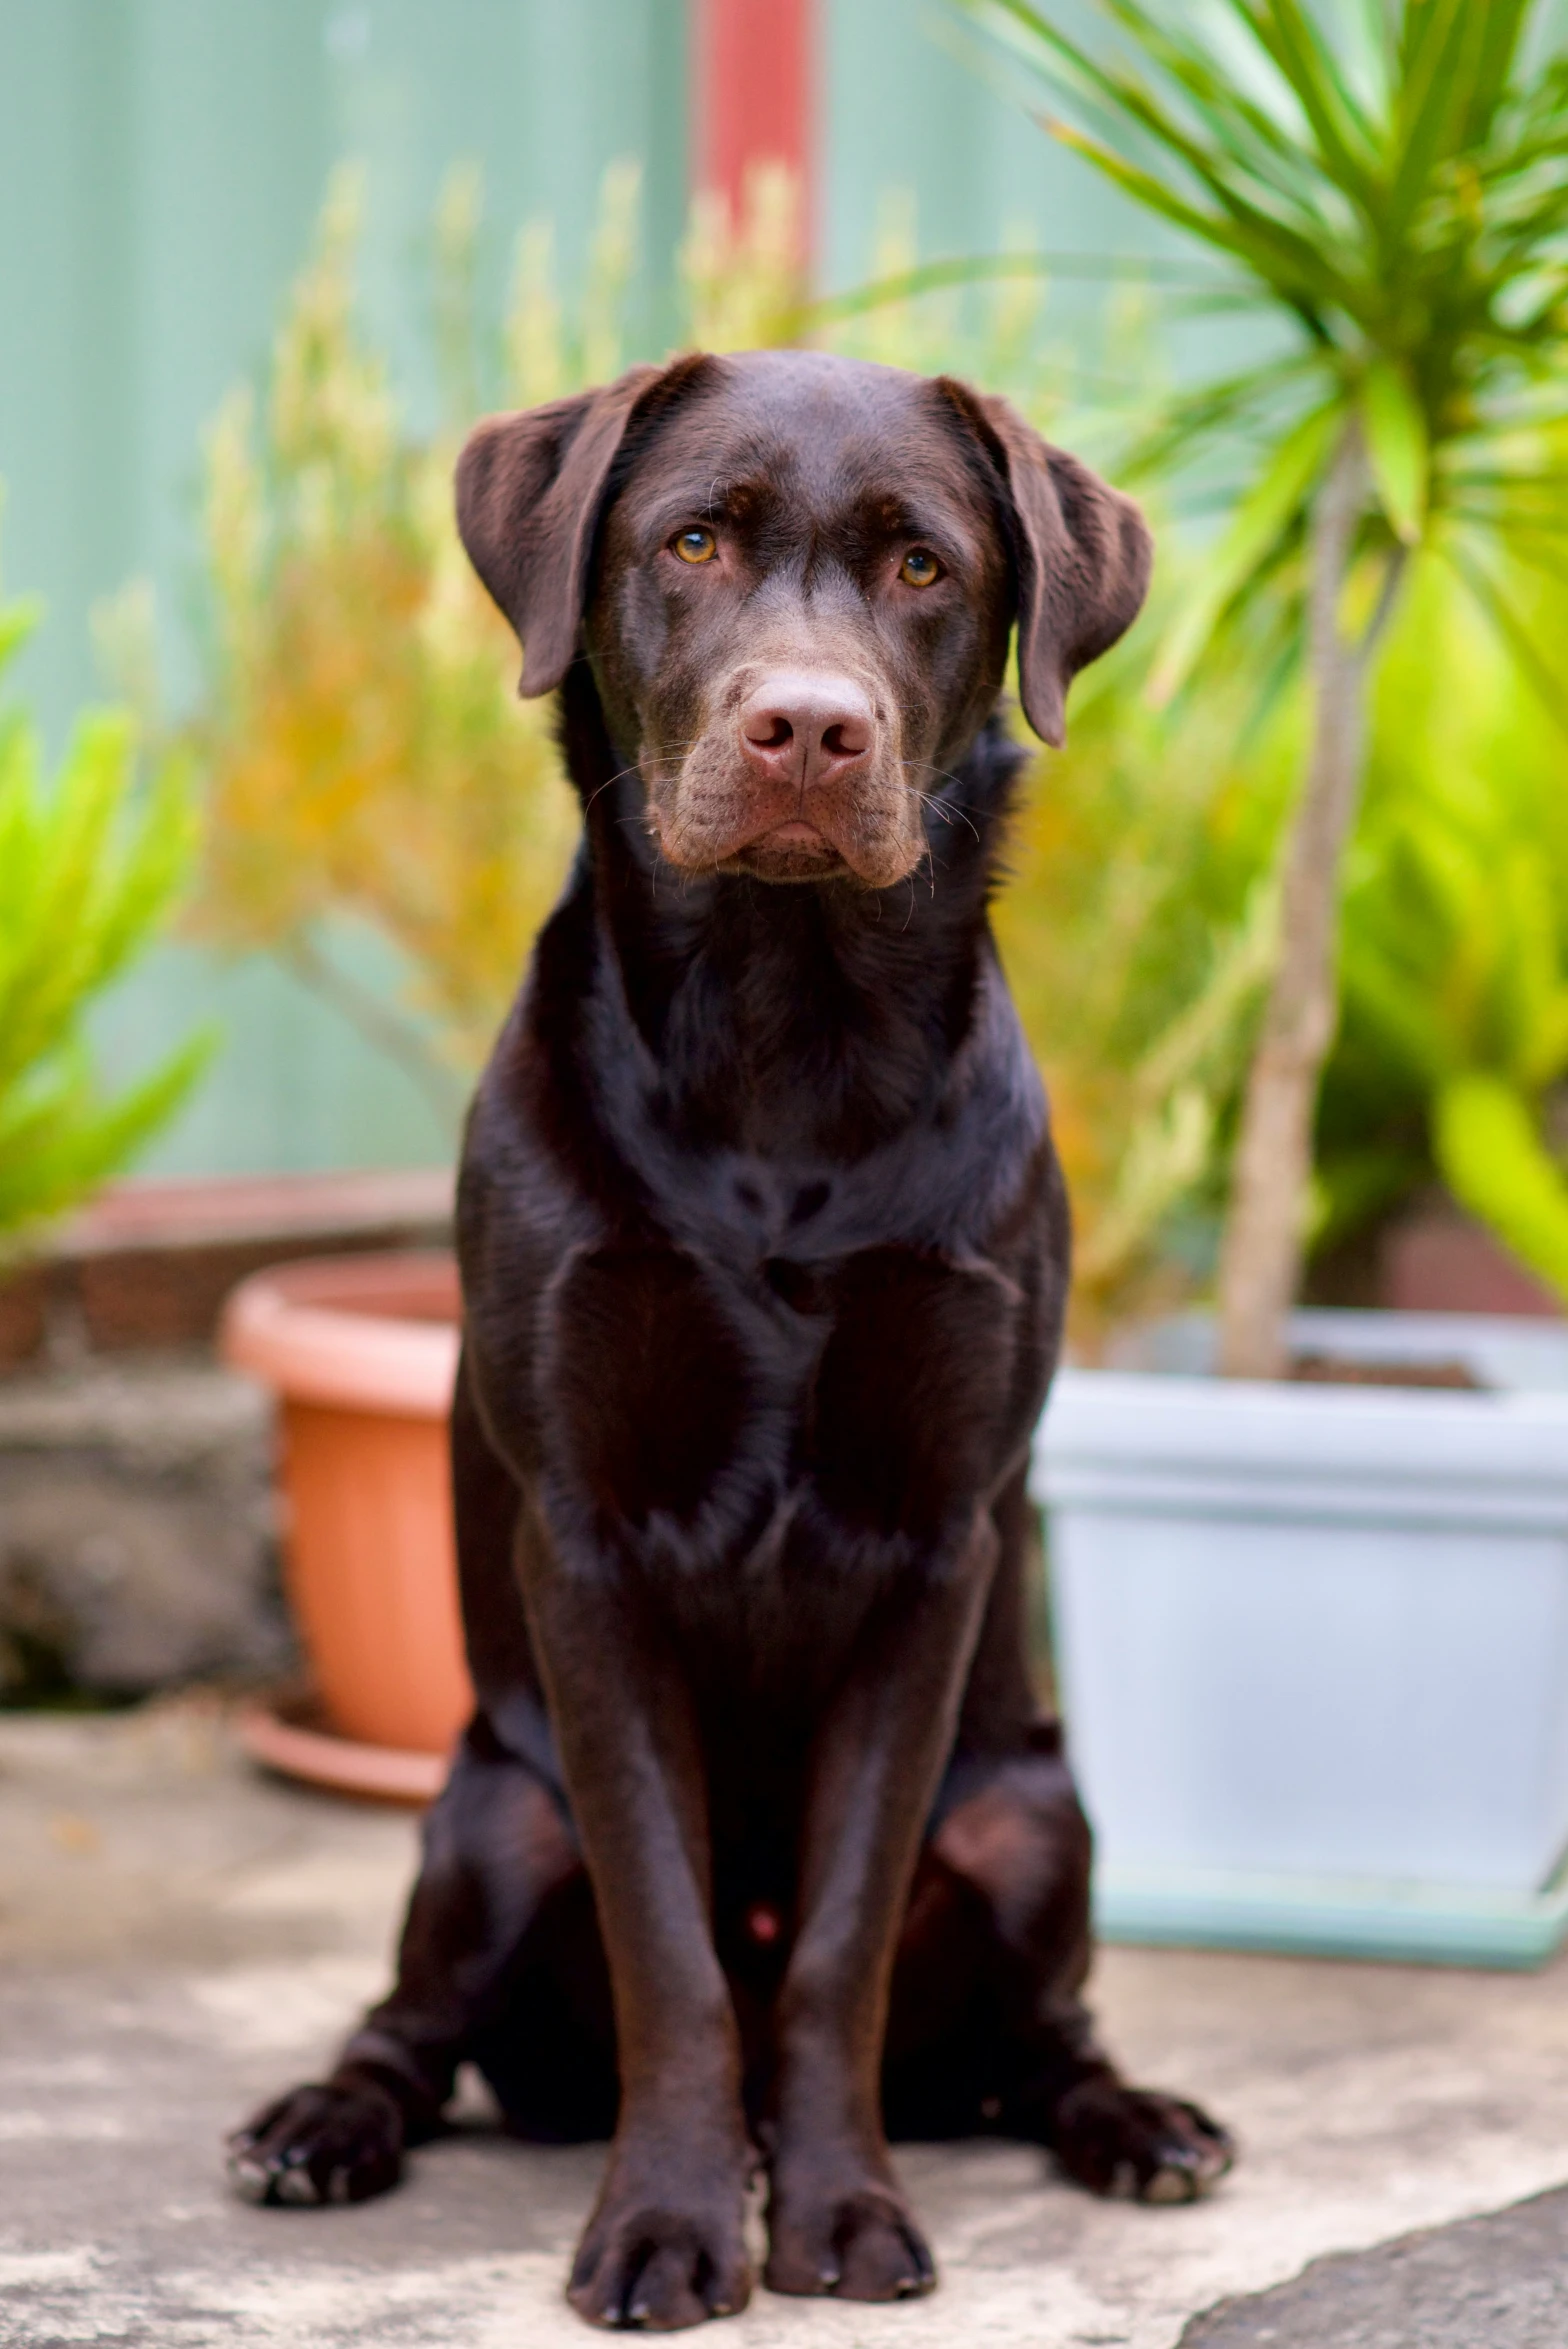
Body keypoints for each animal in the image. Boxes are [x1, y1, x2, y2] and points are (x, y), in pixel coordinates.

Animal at [230, 347, 1239, 2330]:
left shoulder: (933, 1549)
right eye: (692, 540)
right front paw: (674, 2224)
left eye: (924, 567)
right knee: (413, 2026)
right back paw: (318, 2125)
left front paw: (837, 2212)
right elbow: (675, 1943)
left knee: (1041, 2037)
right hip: (484, 1823)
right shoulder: (591, 1547)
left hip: (1036, 1819)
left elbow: (831, 1950)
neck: (787, 1036)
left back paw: (1133, 2122)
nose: (807, 729)